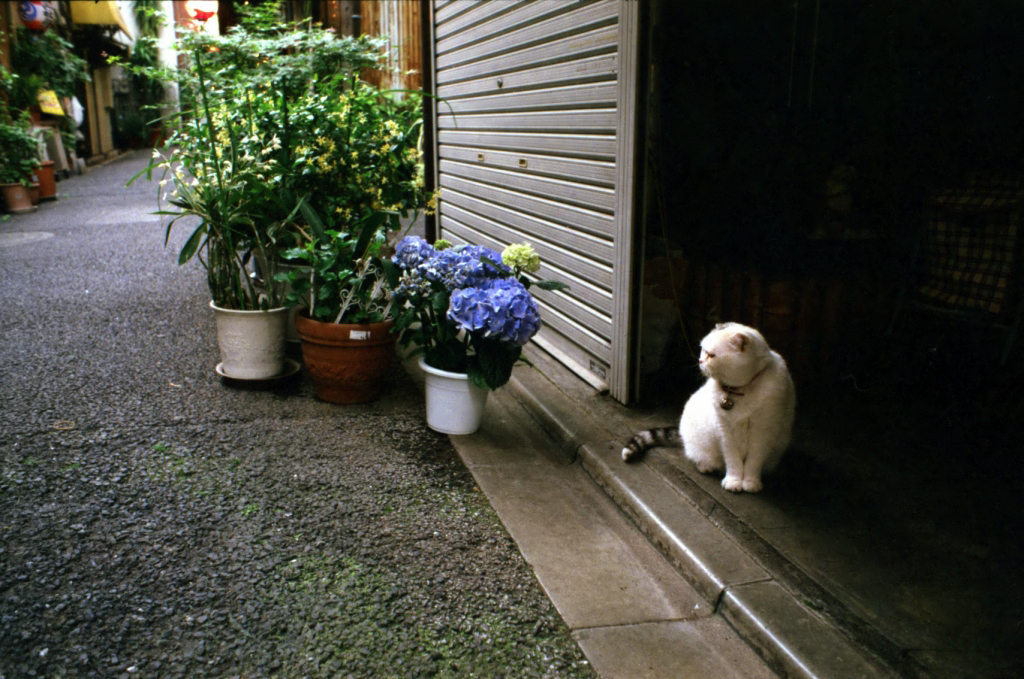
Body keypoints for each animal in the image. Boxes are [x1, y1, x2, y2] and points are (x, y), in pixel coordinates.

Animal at [618, 323, 794, 493]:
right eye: (703, 350)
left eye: (711, 355)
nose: (700, 361)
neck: (738, 391)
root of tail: (681, 433)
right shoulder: (725, 430)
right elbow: (733, 460)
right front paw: (734, 481)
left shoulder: (763, 431)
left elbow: (754, 461)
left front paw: (750, 482)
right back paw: (707, 466)